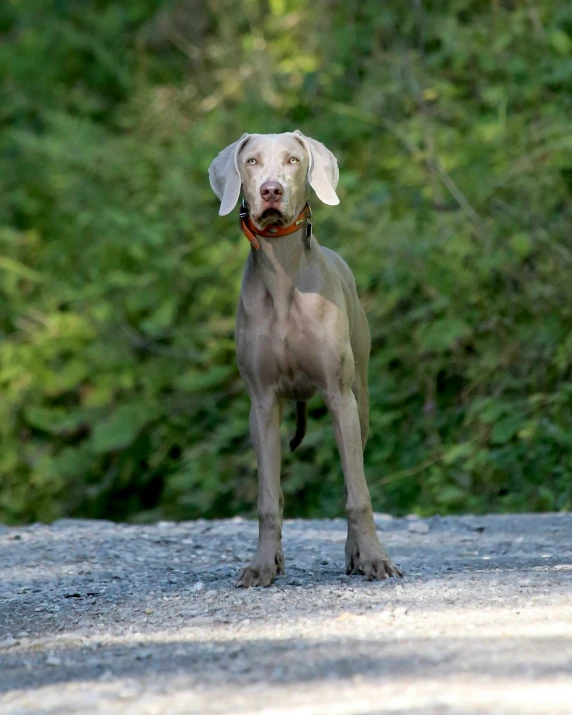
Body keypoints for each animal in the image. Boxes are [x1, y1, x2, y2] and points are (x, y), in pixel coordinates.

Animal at [208, 130, 400, 588]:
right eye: (252, 162)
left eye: (293, 160)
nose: (270, 191)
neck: (282, 272)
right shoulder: (261, 405)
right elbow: (267, 500)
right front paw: (262, 565)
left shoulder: (339, 396)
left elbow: (358, 494)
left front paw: (374, 558)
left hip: (360, 400)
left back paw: (356, 554)